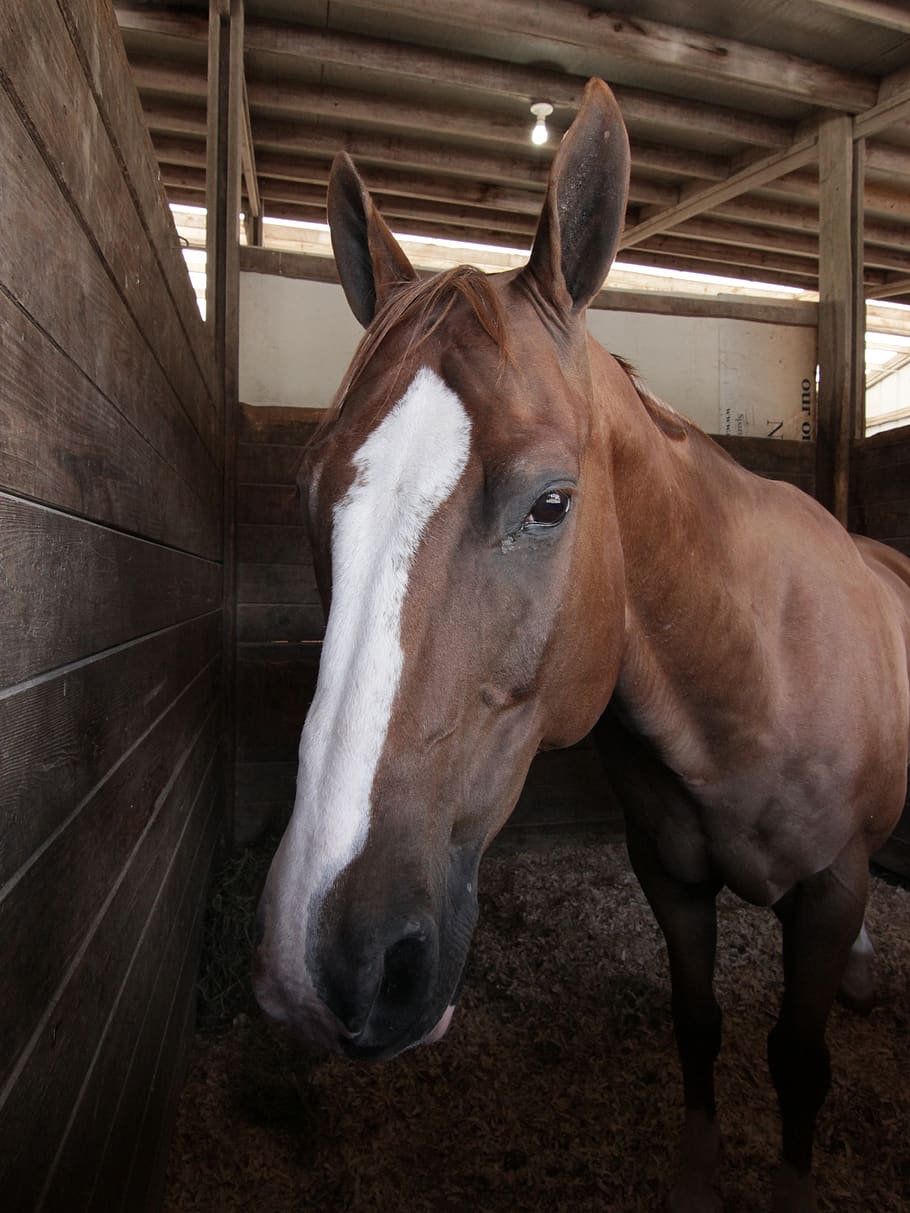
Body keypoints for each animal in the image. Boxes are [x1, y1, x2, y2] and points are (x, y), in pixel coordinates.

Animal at [253, 78, 910, 1213]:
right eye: (308, 491)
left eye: (551, 503)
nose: (327, 957)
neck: (749, 675)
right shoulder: (672, 879)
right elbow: (697, 1026)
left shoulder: (828, 888)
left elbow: (796, 1061)